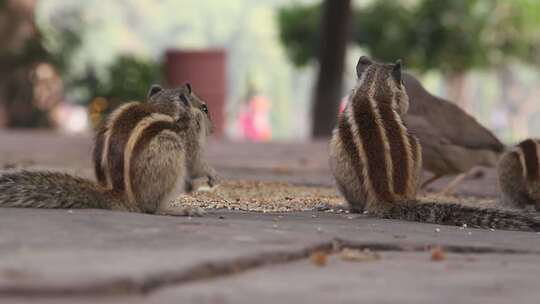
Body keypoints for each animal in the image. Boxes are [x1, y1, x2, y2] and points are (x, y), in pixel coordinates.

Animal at [0, 83, 215, 216]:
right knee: (152, 208)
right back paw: (179, 210)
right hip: (169, 148)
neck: (166, 107)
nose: (213, 130)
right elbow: (196, 161)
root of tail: (120, 197)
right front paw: (211, 175)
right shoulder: (190, 134)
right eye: (204, 108)